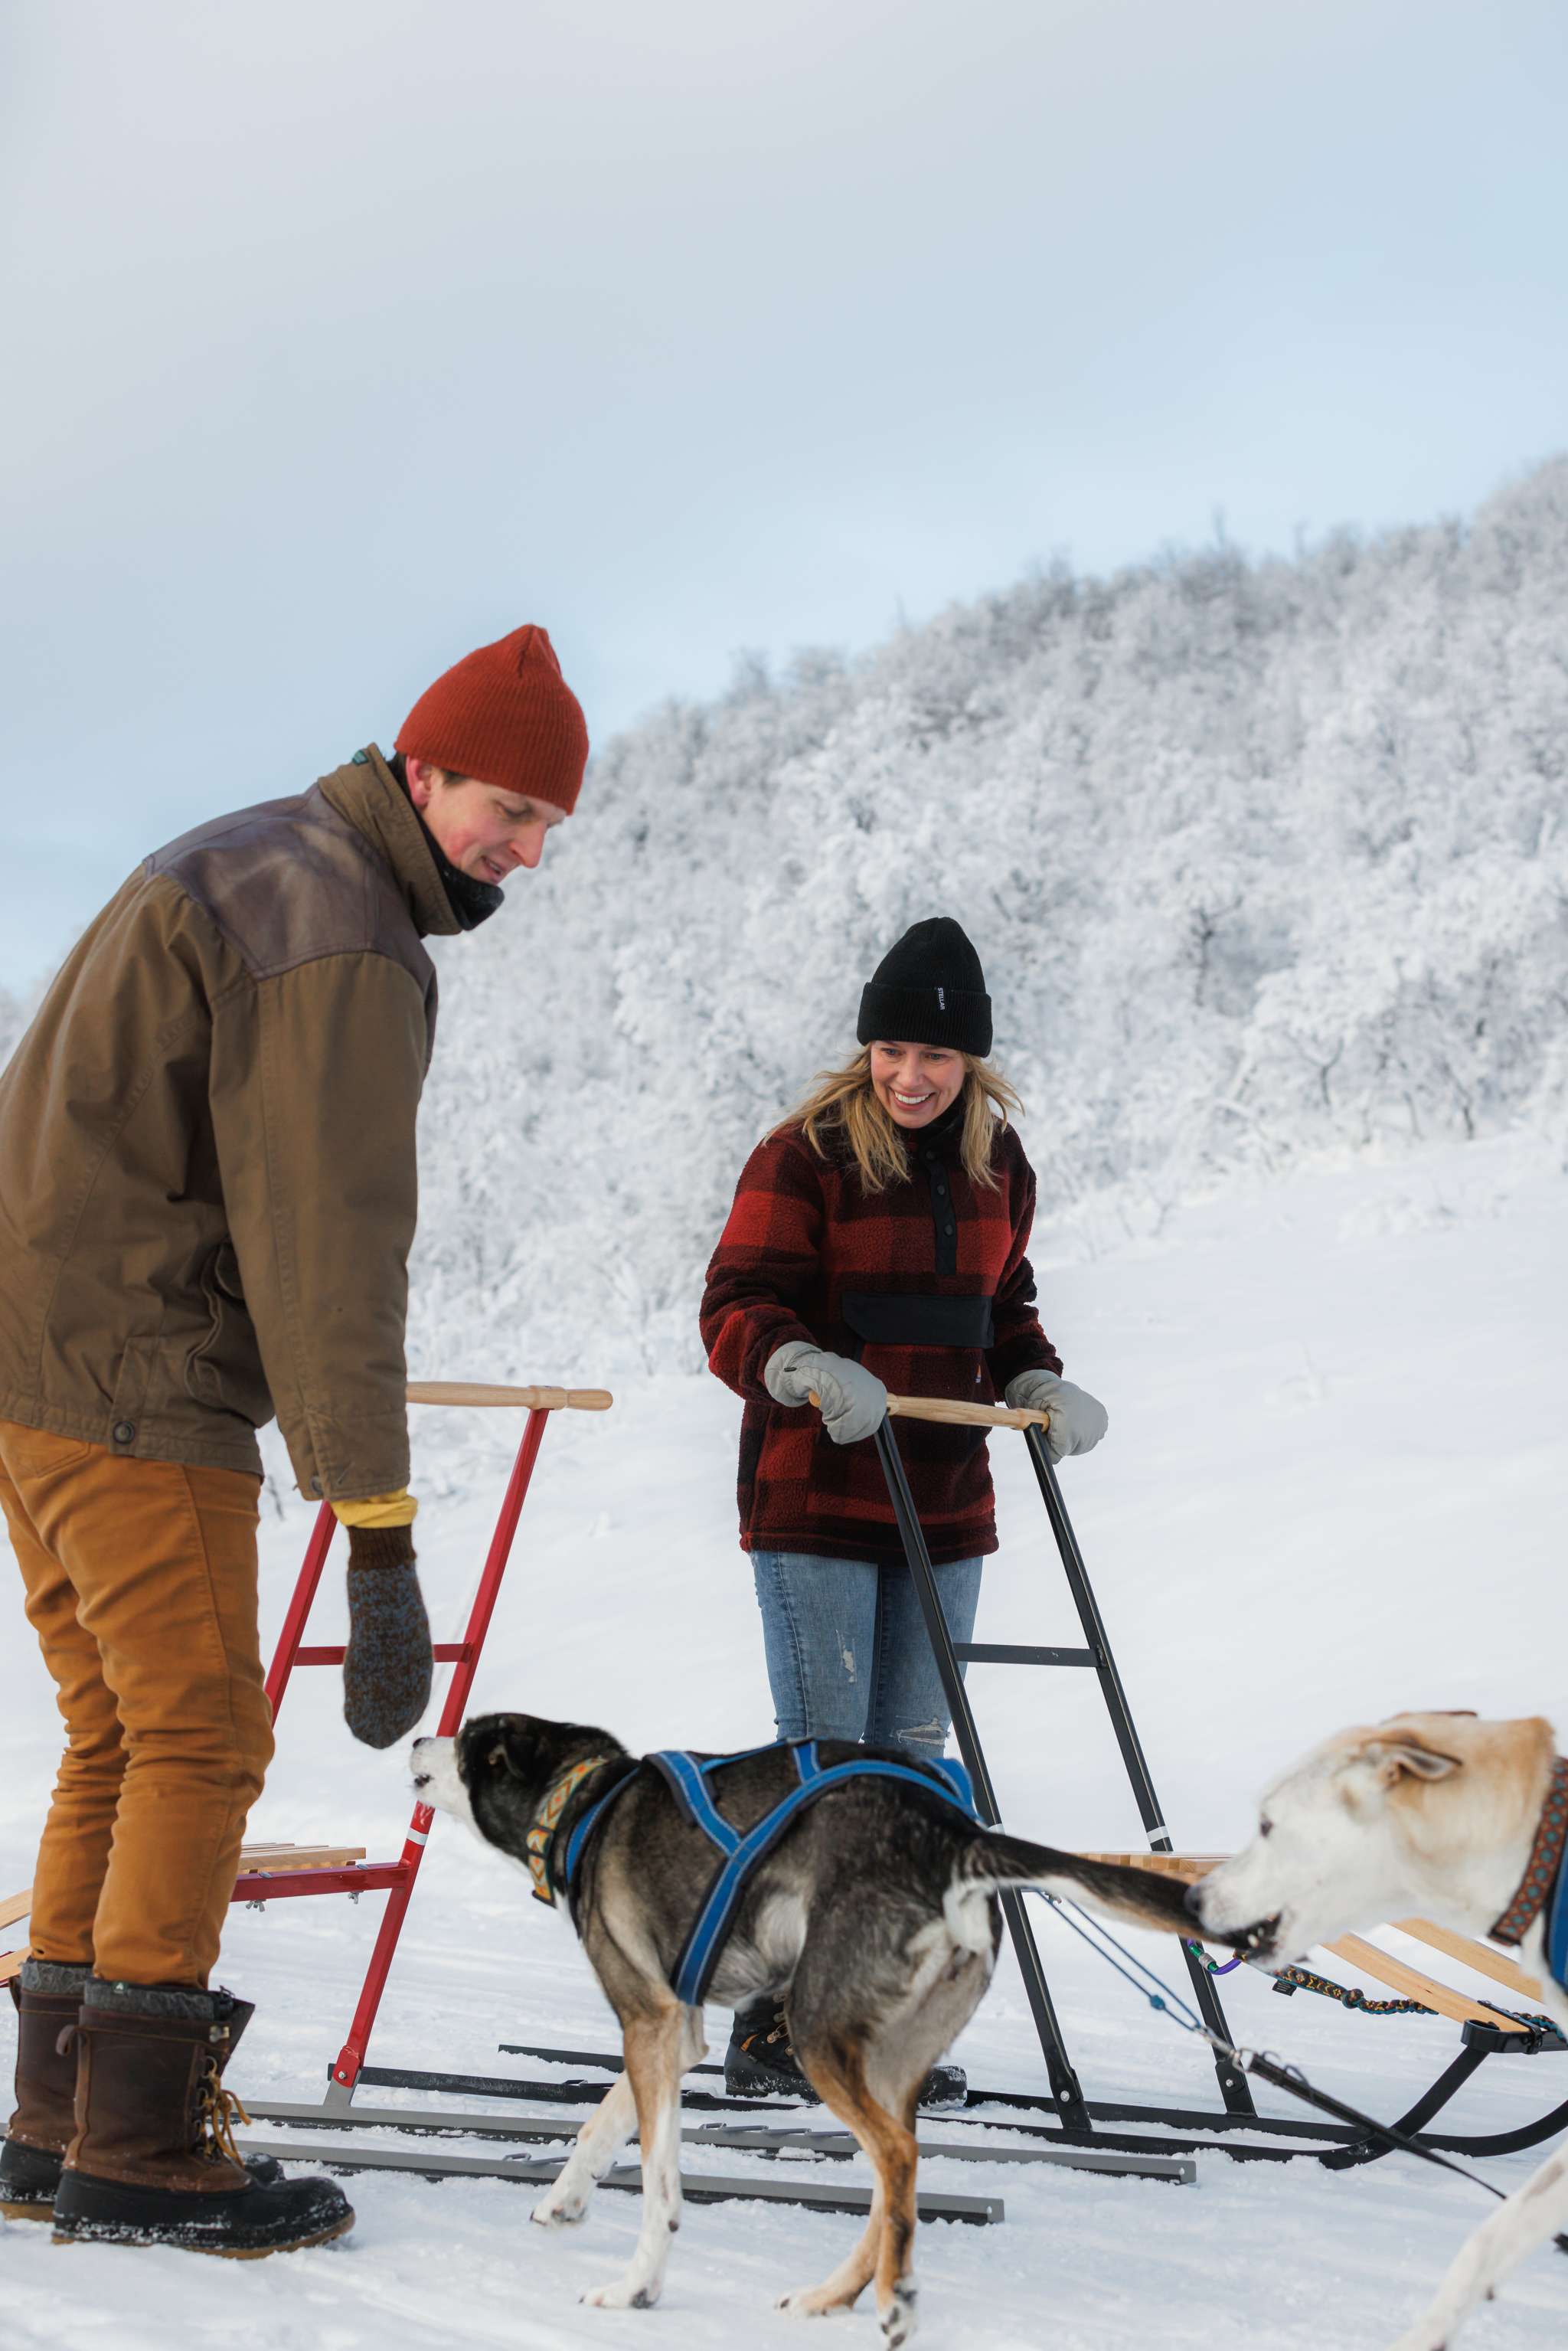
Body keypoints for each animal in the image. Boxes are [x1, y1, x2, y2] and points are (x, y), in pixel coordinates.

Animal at [411, 1711, 1194, 2332]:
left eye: (468, 1741)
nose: (419, 1736)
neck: (587, 1801)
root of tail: (956, 1839)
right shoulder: (668, 2031)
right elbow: (600, 2124)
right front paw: (565, 2199)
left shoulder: (647, 2020)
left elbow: (658, 2181)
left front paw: (637, 2287)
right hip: (886, 2065)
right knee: (895, 2178)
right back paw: (833, 2295)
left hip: (820, 2037)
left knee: (897, 2161)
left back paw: (892, 2300)